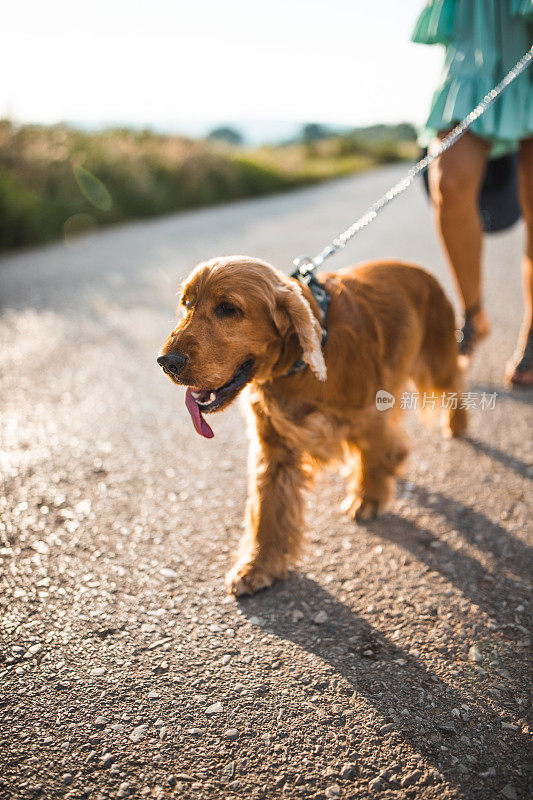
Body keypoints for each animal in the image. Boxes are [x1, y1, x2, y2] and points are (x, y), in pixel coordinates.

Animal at [158, 256, 466, 592]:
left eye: (228, 308)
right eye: (187, 303)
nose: (166, 362)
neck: (299, 366)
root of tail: (418, 269)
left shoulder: (367, 413)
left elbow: (371, 454)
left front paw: (368, 498)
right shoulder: (275, 448)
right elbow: (268, 510)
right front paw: (257, 566)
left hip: (436, 363)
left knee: (456, 382)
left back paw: (457, 424)